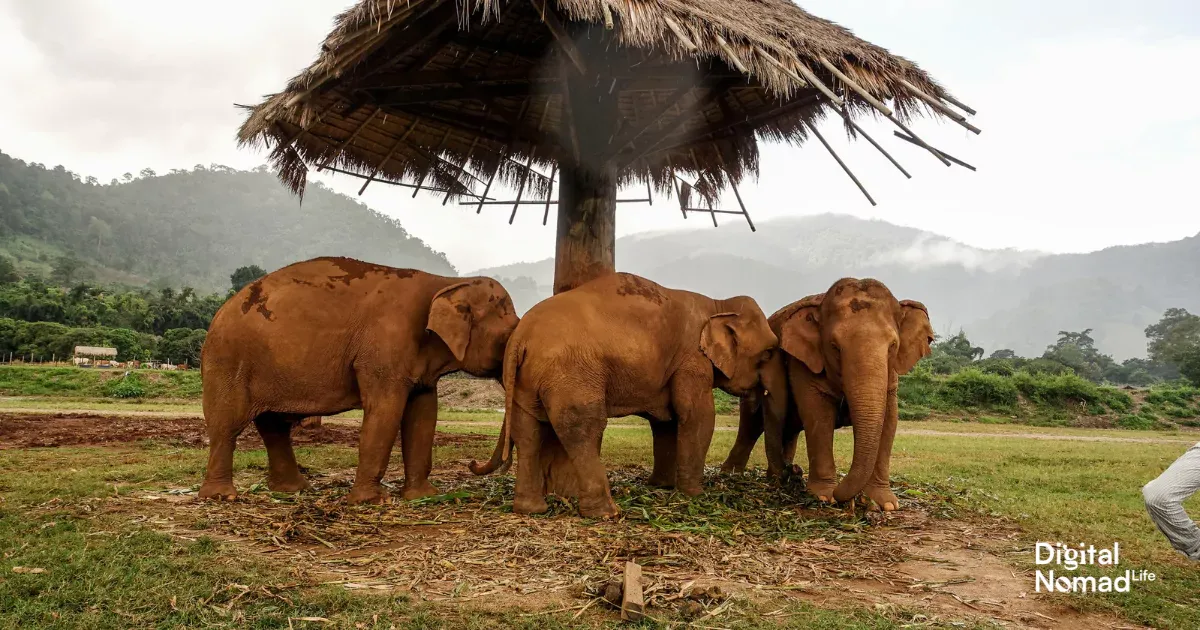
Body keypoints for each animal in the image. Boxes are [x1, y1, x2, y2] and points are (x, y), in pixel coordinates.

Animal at [198, 257, 519, 504]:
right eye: (508, 337)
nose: (472, 463)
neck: (447, 282)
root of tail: (221, 311)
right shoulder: (383, 349)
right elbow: (385, 412)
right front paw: (371, 501)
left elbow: (423, 415)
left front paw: (423, 496)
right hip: (227, 360)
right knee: (228, 424)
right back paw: (221, 496)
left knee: (273, 425)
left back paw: (293, 490)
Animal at [469, 272, 778, 518]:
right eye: (769, 352)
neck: (717, 304)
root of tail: (520, 337)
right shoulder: (692, 359)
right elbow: (697, 416)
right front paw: (693, 495)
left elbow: (665, 421)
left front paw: (661, 485)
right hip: (570, 373)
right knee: (583, 427)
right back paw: (606, 513)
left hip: (526, 379)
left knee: (529, 432)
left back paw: (531, 510)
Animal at [721, 278, 933, 511]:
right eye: (834, 347)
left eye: (892, 346)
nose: (850, 500)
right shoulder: (803, 361)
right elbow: (818, 415)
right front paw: (824, 497)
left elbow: (889, 420)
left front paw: (885, 504)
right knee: (751, 424)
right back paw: (733, 475)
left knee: (788, 430)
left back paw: (778, 478)